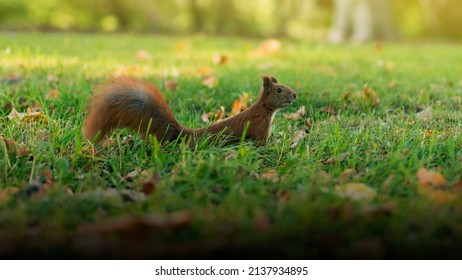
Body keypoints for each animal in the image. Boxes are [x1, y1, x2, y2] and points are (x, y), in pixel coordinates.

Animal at [84, 76, 296, 147]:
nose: (295, 95)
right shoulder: (259, 128)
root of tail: (186, 136)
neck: (265, 109)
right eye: (279, 90)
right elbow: (261, 143)